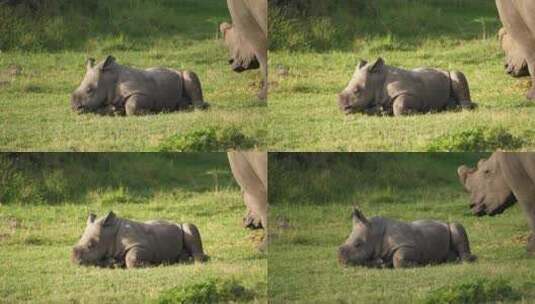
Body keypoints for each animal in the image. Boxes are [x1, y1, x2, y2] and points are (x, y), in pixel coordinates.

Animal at [71, 211, 205, 268]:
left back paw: (196, 261)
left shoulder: (143, 246)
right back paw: (182, 259)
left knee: (189, 226)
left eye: (91, 245)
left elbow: (131, 257)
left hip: (182, 226)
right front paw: (115, 263)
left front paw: (148, 264)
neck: (111, 232)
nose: (74, 261)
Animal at [72, 55, 210, 115]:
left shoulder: (144, 93)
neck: (110, 79)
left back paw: (196, 108)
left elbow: (131, 106)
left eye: (89, 90)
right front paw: (115, 110)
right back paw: (182, 107)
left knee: (189, 74)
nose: (74, 108)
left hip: (182, 74)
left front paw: (147, 112)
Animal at [340, 57, 478, 116]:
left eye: (356, 91)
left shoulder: (413, 94)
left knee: (457, 74)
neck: (378, 80)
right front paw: (384, 111)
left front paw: (414, 112)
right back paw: (450, 108)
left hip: (450, 74)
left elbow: (399, 105)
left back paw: (464, 108)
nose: (341, 107)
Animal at [340, 207, 478, 268]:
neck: (376, 232)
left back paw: (466, 259)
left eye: (358, 244)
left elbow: (398, 258)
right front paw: (381, 263)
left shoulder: (409, 245)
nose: (340, 260)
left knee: (456, 226)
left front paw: (416, 264)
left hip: (449, 225)